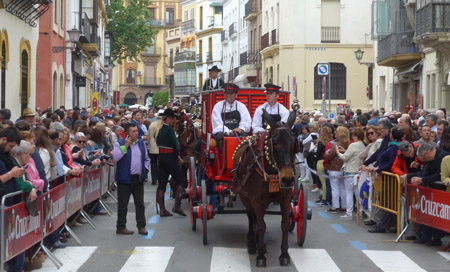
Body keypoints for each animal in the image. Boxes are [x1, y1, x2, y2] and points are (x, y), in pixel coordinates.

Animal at [232, 109, 298, 266]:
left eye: (294, 143)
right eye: (276, 144)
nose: (287, 179)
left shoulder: (285, 199)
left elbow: (285, 224)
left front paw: (284, 254)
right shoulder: (256, 200)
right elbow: (261, 226)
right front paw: (260, 256)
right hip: (245, 196)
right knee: (251, 217)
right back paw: (252, 244)